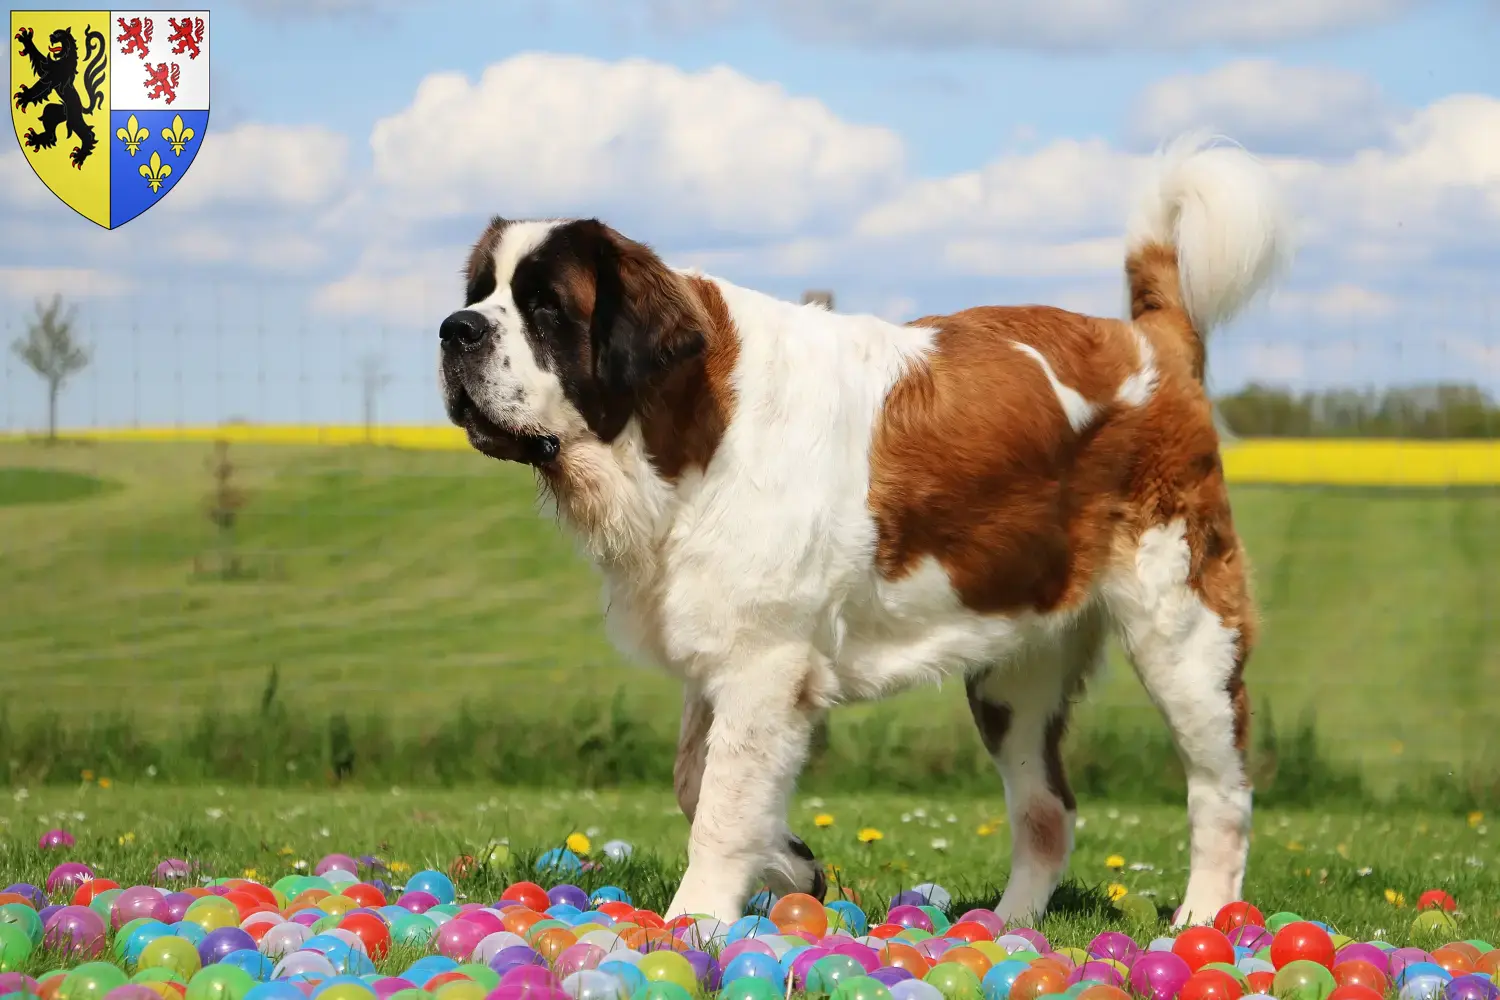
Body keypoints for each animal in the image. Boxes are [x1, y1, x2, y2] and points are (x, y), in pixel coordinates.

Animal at [438, 132, 1296, 929]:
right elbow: (696, 782)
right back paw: (1009, 925)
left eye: (548, 308)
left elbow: (720, 807)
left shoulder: (764, 663)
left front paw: (693, 924)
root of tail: (1153, 338)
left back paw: (1202, 918)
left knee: (1220, 791)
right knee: (1048, 812)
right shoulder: (724, 647)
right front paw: (794, 863)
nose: (455, 329)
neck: (680, 424)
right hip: (1014, 672)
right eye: (481, 291)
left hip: (1184, 633)